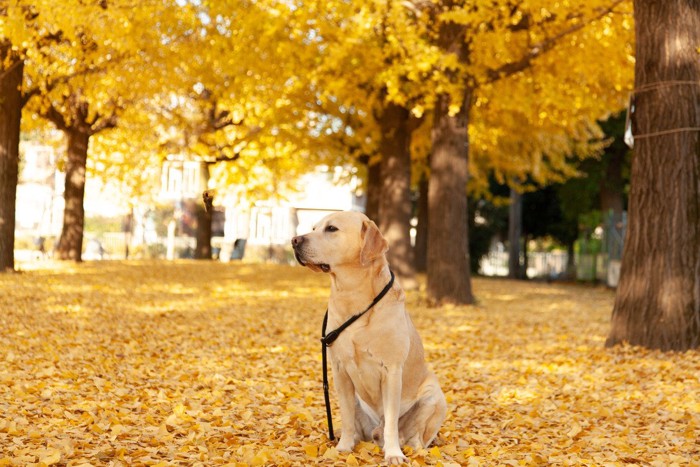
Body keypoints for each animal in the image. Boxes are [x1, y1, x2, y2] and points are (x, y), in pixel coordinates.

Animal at [292, 211, 446, 464]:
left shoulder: (392, 370)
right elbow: (345, 417)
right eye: (314, 228)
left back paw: (412, 449)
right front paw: (343, 448)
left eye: (331, 228)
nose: (294, 240)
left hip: (434, 397)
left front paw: (393, 454)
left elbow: (392, 421)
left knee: (416, 437)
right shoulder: (339, 371)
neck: (352, 296)